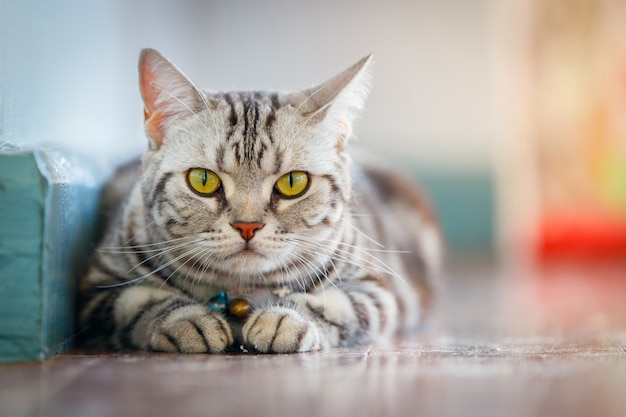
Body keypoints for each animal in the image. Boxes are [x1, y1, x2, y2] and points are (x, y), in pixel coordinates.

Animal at [77, 48, 438, 354]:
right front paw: (187, 321)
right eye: (203, 180)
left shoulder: (377, 291)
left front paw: (283, 320)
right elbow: (140, 303)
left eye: (293, 183)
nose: (247, 226)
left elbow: (334, 306)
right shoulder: (96, 289)